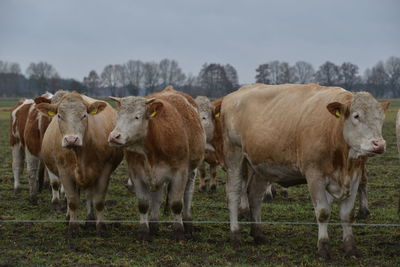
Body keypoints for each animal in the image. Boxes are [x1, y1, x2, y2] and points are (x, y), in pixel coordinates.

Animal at [36, 92, 122, 237]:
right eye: (59, 116)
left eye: (84, 115)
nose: (71, 139)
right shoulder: (64, 172)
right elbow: (72, 201)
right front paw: (73, 228)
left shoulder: (104, 171)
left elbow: (98, 201)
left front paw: (101, 227)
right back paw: (69, 218)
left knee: (89, 195)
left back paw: (90, 220)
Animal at [108, 87, 205, 242]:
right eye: (118, 116)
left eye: (137, 116)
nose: (114, 137)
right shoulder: (136, 174)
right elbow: (143, 205)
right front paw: (143, 232)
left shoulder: (180, 173)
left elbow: (176, 204)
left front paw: (179, 232)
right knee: (157, 197)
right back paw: (154, 227)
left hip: (192, 171)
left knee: (187, 195)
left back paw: (188, 225)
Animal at [220, 84, 390, 260]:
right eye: (356, 116)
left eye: (381, 117)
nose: (379, 144)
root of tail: (233, 95)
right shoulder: (315, 176)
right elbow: (323, 212)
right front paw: (323, 248)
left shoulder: (355, 176)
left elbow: (347, 214)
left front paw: (350, 249)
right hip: (234, 155)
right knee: (233, 194)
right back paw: (235, 235)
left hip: (261, 165)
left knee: (255, 196)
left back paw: (258, 234)